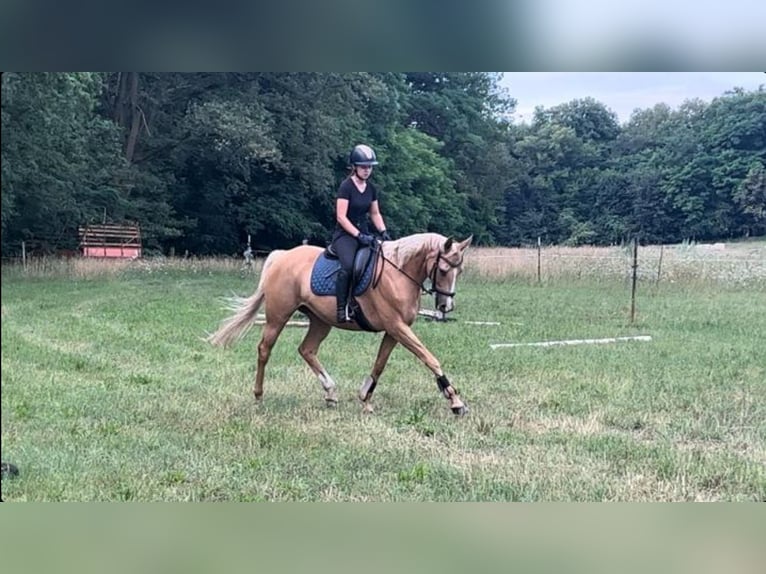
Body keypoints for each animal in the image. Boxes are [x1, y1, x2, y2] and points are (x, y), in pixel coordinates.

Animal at [208, 232, 474, 416]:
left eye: (459, 271)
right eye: (443, 269)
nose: (446, 306)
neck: (398, 273)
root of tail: (283, 256)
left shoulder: (394, 331)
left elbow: (380, 364)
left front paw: (365, 398)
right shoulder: (397, 327)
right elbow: (429, 358)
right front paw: (456, 401)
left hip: (320, 321)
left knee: (307, 350)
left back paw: (330, 392)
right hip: (278, 316)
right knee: (265, 349)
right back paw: (259, 395)